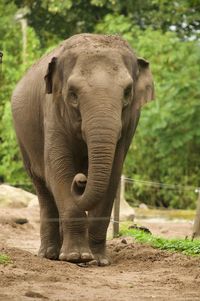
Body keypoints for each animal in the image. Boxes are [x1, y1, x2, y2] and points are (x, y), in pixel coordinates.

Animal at [11, 33, 155, 264]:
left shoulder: (130, 124)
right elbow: (59, 170)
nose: (81, 179)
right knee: (43, 188)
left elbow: (113, 174)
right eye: (72, 94)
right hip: (24, 141)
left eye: (127, 93)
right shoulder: (52, 111)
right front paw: (75, 257)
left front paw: (98, 260)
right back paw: (50, 255)